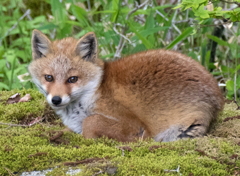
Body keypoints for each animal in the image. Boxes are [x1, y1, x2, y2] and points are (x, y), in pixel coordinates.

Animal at [28, 28, 225, 142]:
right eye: (49, 77)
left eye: (72, 79)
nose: (56, 99)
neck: (94, 90)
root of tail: (217, 95)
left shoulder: (136, 126)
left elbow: (90, 122)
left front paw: (88, 138)